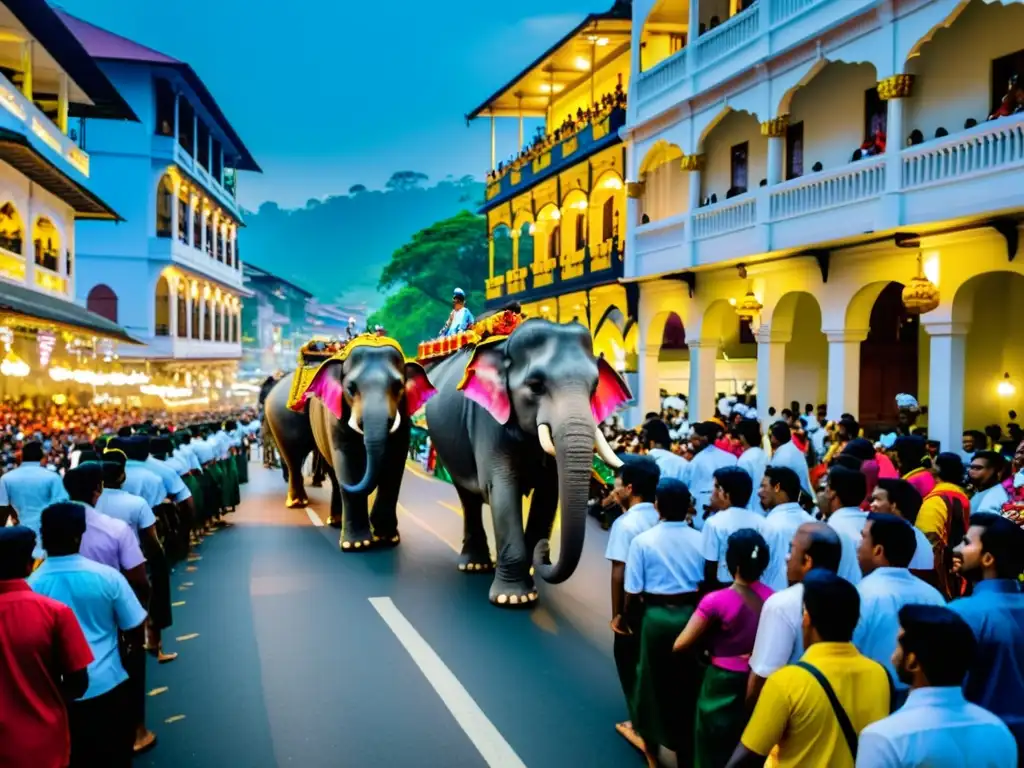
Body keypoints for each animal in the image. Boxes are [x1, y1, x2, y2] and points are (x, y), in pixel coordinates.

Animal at [264, 335, 436, 548]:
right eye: (351, 389)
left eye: (399, 387)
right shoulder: (335, 418)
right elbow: (348, 462)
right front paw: (357, 545)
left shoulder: (404, 418)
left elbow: (394, 464)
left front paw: (388, 538)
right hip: (282, 418)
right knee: (295, 459)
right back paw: (298, 504)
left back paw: (335, 520)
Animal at [423, 319, 630, 606]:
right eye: (536, 386)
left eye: (594, 388)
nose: (545, 549)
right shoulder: (487, 422)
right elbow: (501, 488)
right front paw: (512, 598)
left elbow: (548, 495)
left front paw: (530, 575)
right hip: (448, 449)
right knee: (468, 497)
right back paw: (475, 565)